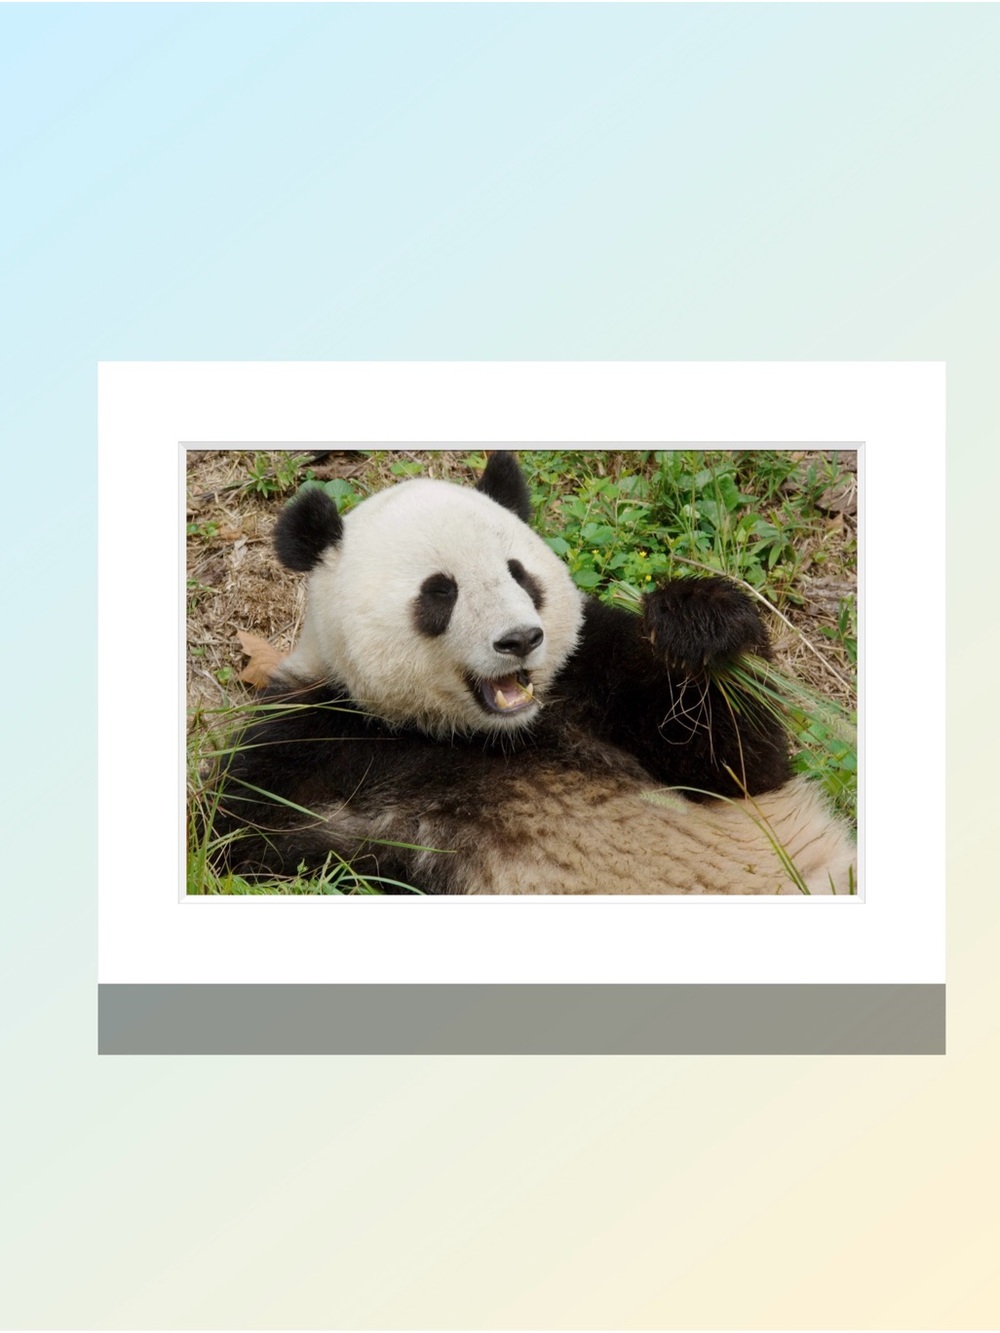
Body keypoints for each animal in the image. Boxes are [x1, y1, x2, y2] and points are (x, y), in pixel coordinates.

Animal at [209, 453, 856, 895]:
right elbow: (243, 840)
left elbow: (738, 763)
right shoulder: (311, 726)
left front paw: (696, 624)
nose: (520, 640)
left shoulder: (591, 668)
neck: (492, 735)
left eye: (519, 573)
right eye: (440, 591)